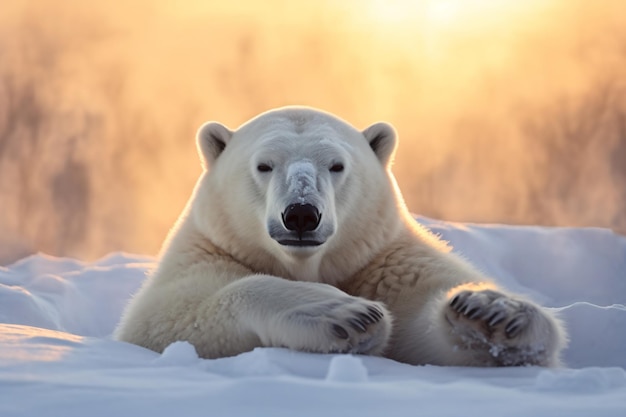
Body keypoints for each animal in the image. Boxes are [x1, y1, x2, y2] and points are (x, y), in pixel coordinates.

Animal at [113, 105, 564, 366]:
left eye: (336, 165)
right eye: (264, 165)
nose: (300, 214)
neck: (310, 265)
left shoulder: (383, 259)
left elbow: (428, 314)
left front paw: (493, 313)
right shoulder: (213, 249)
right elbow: (169, 315)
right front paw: (345, 315)